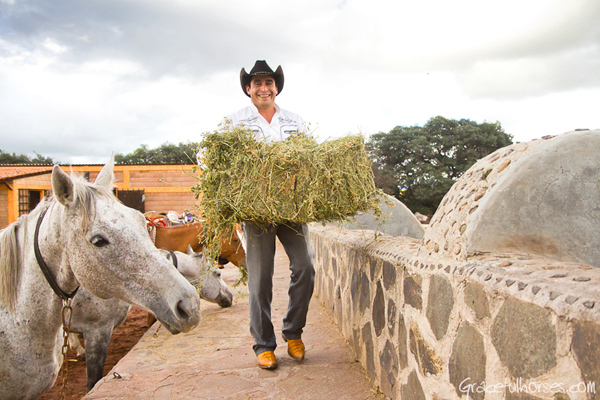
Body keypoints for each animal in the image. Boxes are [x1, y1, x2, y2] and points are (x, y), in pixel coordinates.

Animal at [0, 157, 202, 400]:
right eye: (98, 241)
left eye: (141, 223)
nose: (189, 306)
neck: (19, 319)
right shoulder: (98, 331)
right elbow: (93, 381)